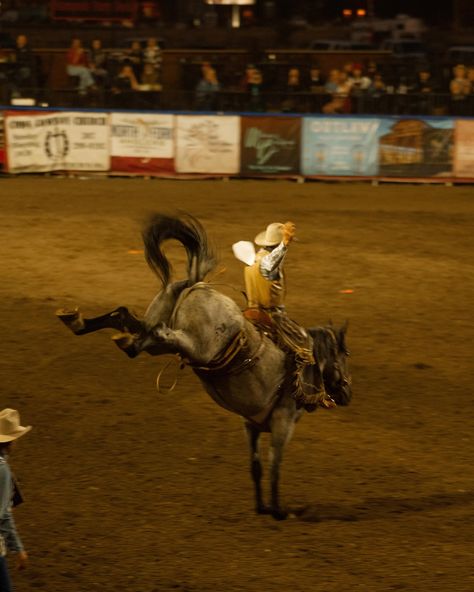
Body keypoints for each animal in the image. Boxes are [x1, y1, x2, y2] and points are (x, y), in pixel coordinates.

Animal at [56, 213, 352, 520]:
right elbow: (274, 467)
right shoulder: (283, 422)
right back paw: (113, 334)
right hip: (196, 346)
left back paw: (77, 320)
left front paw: (261, 507)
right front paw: (278, 511)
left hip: (160, 323)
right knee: (157, 335)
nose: (347, 393)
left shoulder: (251, 424)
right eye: (346, 354)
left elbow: (256, 466)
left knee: (130, 320)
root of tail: (194, 283)